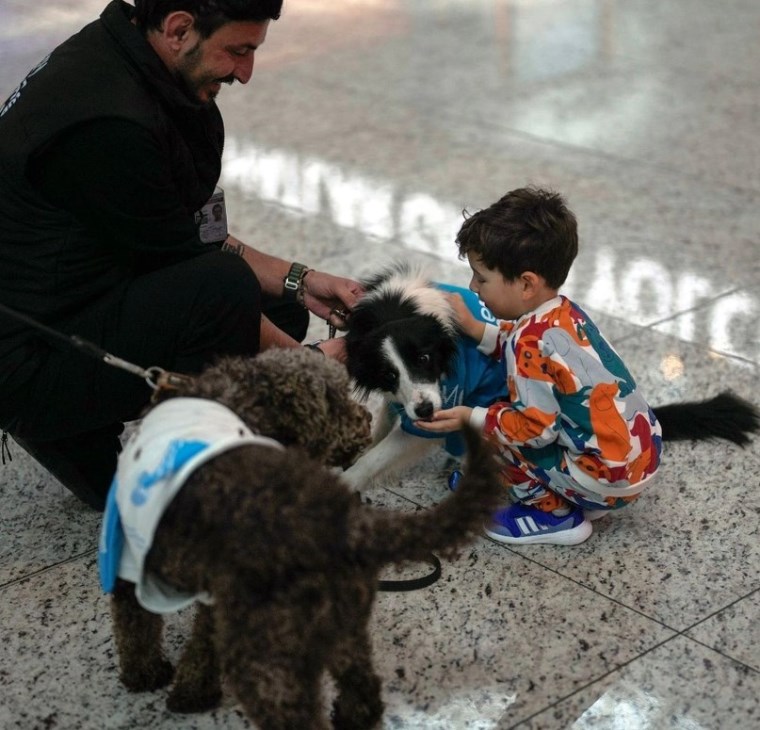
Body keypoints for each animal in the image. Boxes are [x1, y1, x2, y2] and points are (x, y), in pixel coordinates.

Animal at [105, 344, 498, 724]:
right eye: (334, 402)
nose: (366, 421)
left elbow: (141, 630)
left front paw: (159, 680)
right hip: (340, 621)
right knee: (360, 682)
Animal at [342, 264, 760, 486]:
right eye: (388, 374)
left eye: (425, 358)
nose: (426, 411)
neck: (399, 308)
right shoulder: (402, 400)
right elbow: (384, 425)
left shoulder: (446, 398)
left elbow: (380, 455)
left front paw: (346, 485)